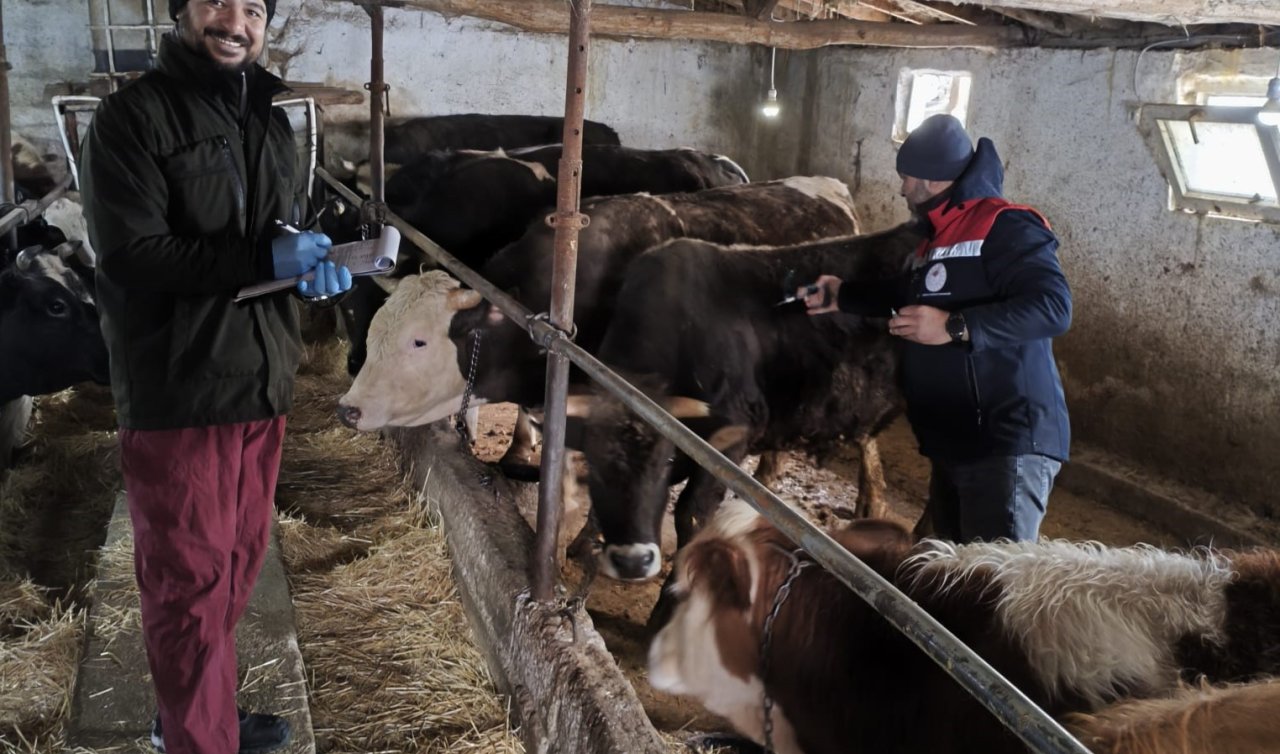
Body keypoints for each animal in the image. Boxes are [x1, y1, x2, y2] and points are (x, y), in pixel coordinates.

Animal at [570, 220, 921, 578]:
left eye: (666, 459)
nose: (633, 561)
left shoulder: (731, 437)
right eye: (592, 461)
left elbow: (691, 513)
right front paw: (583, 544)